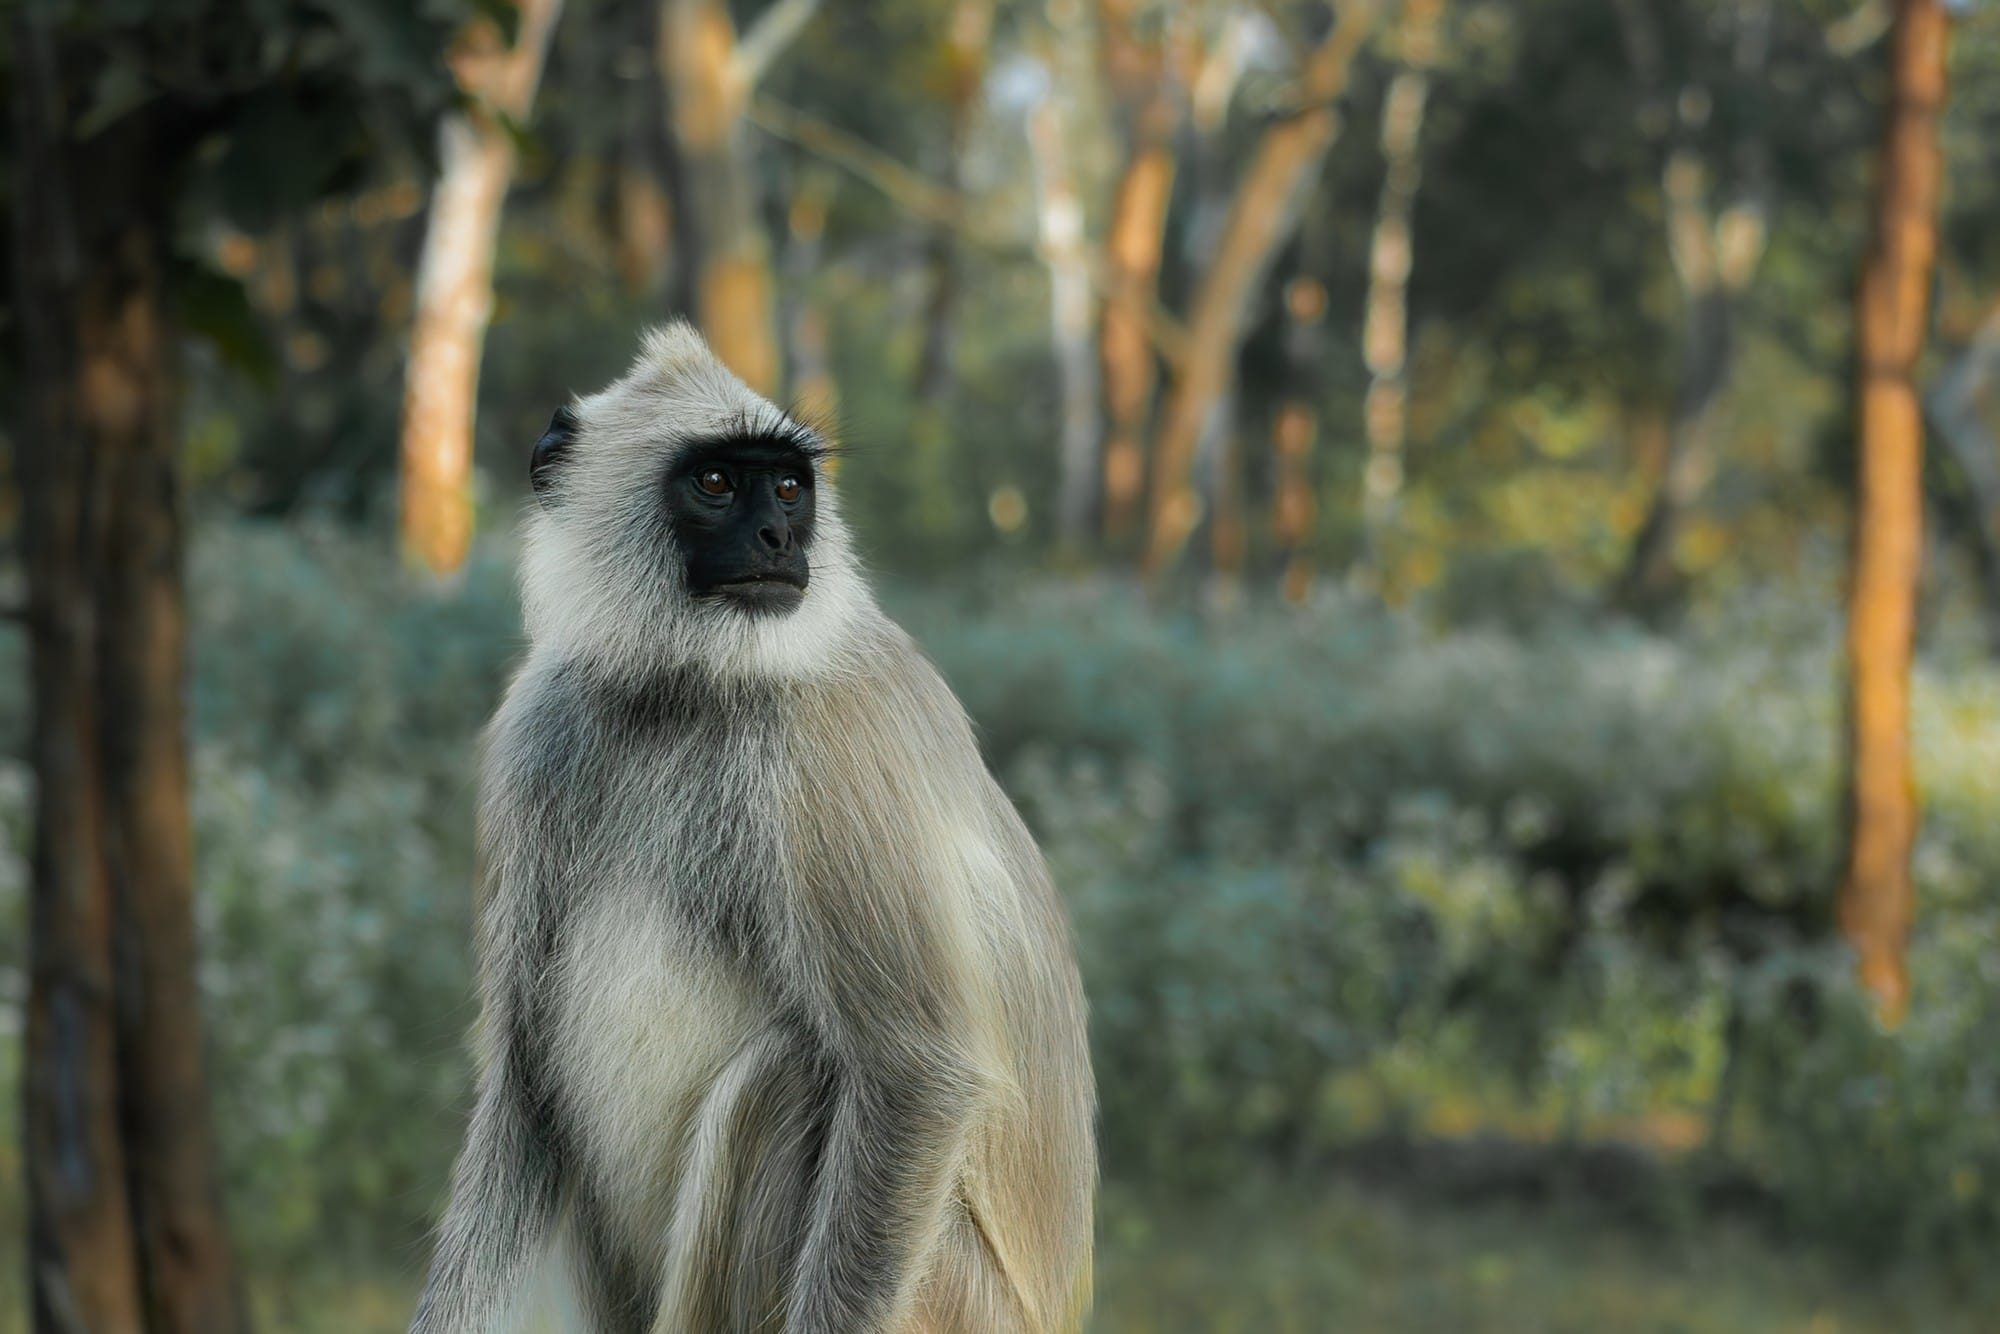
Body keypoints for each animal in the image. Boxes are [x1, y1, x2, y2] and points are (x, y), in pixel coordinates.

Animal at [409, 323, 1096, 1334]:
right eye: (717, 482)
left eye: (788, 488)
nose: (778, 537)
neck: (685, 689)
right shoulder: (538, 734)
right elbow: (521, 1084)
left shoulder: (826, 748)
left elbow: (916, 1077)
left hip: (951, 1298)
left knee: (790, 1080)